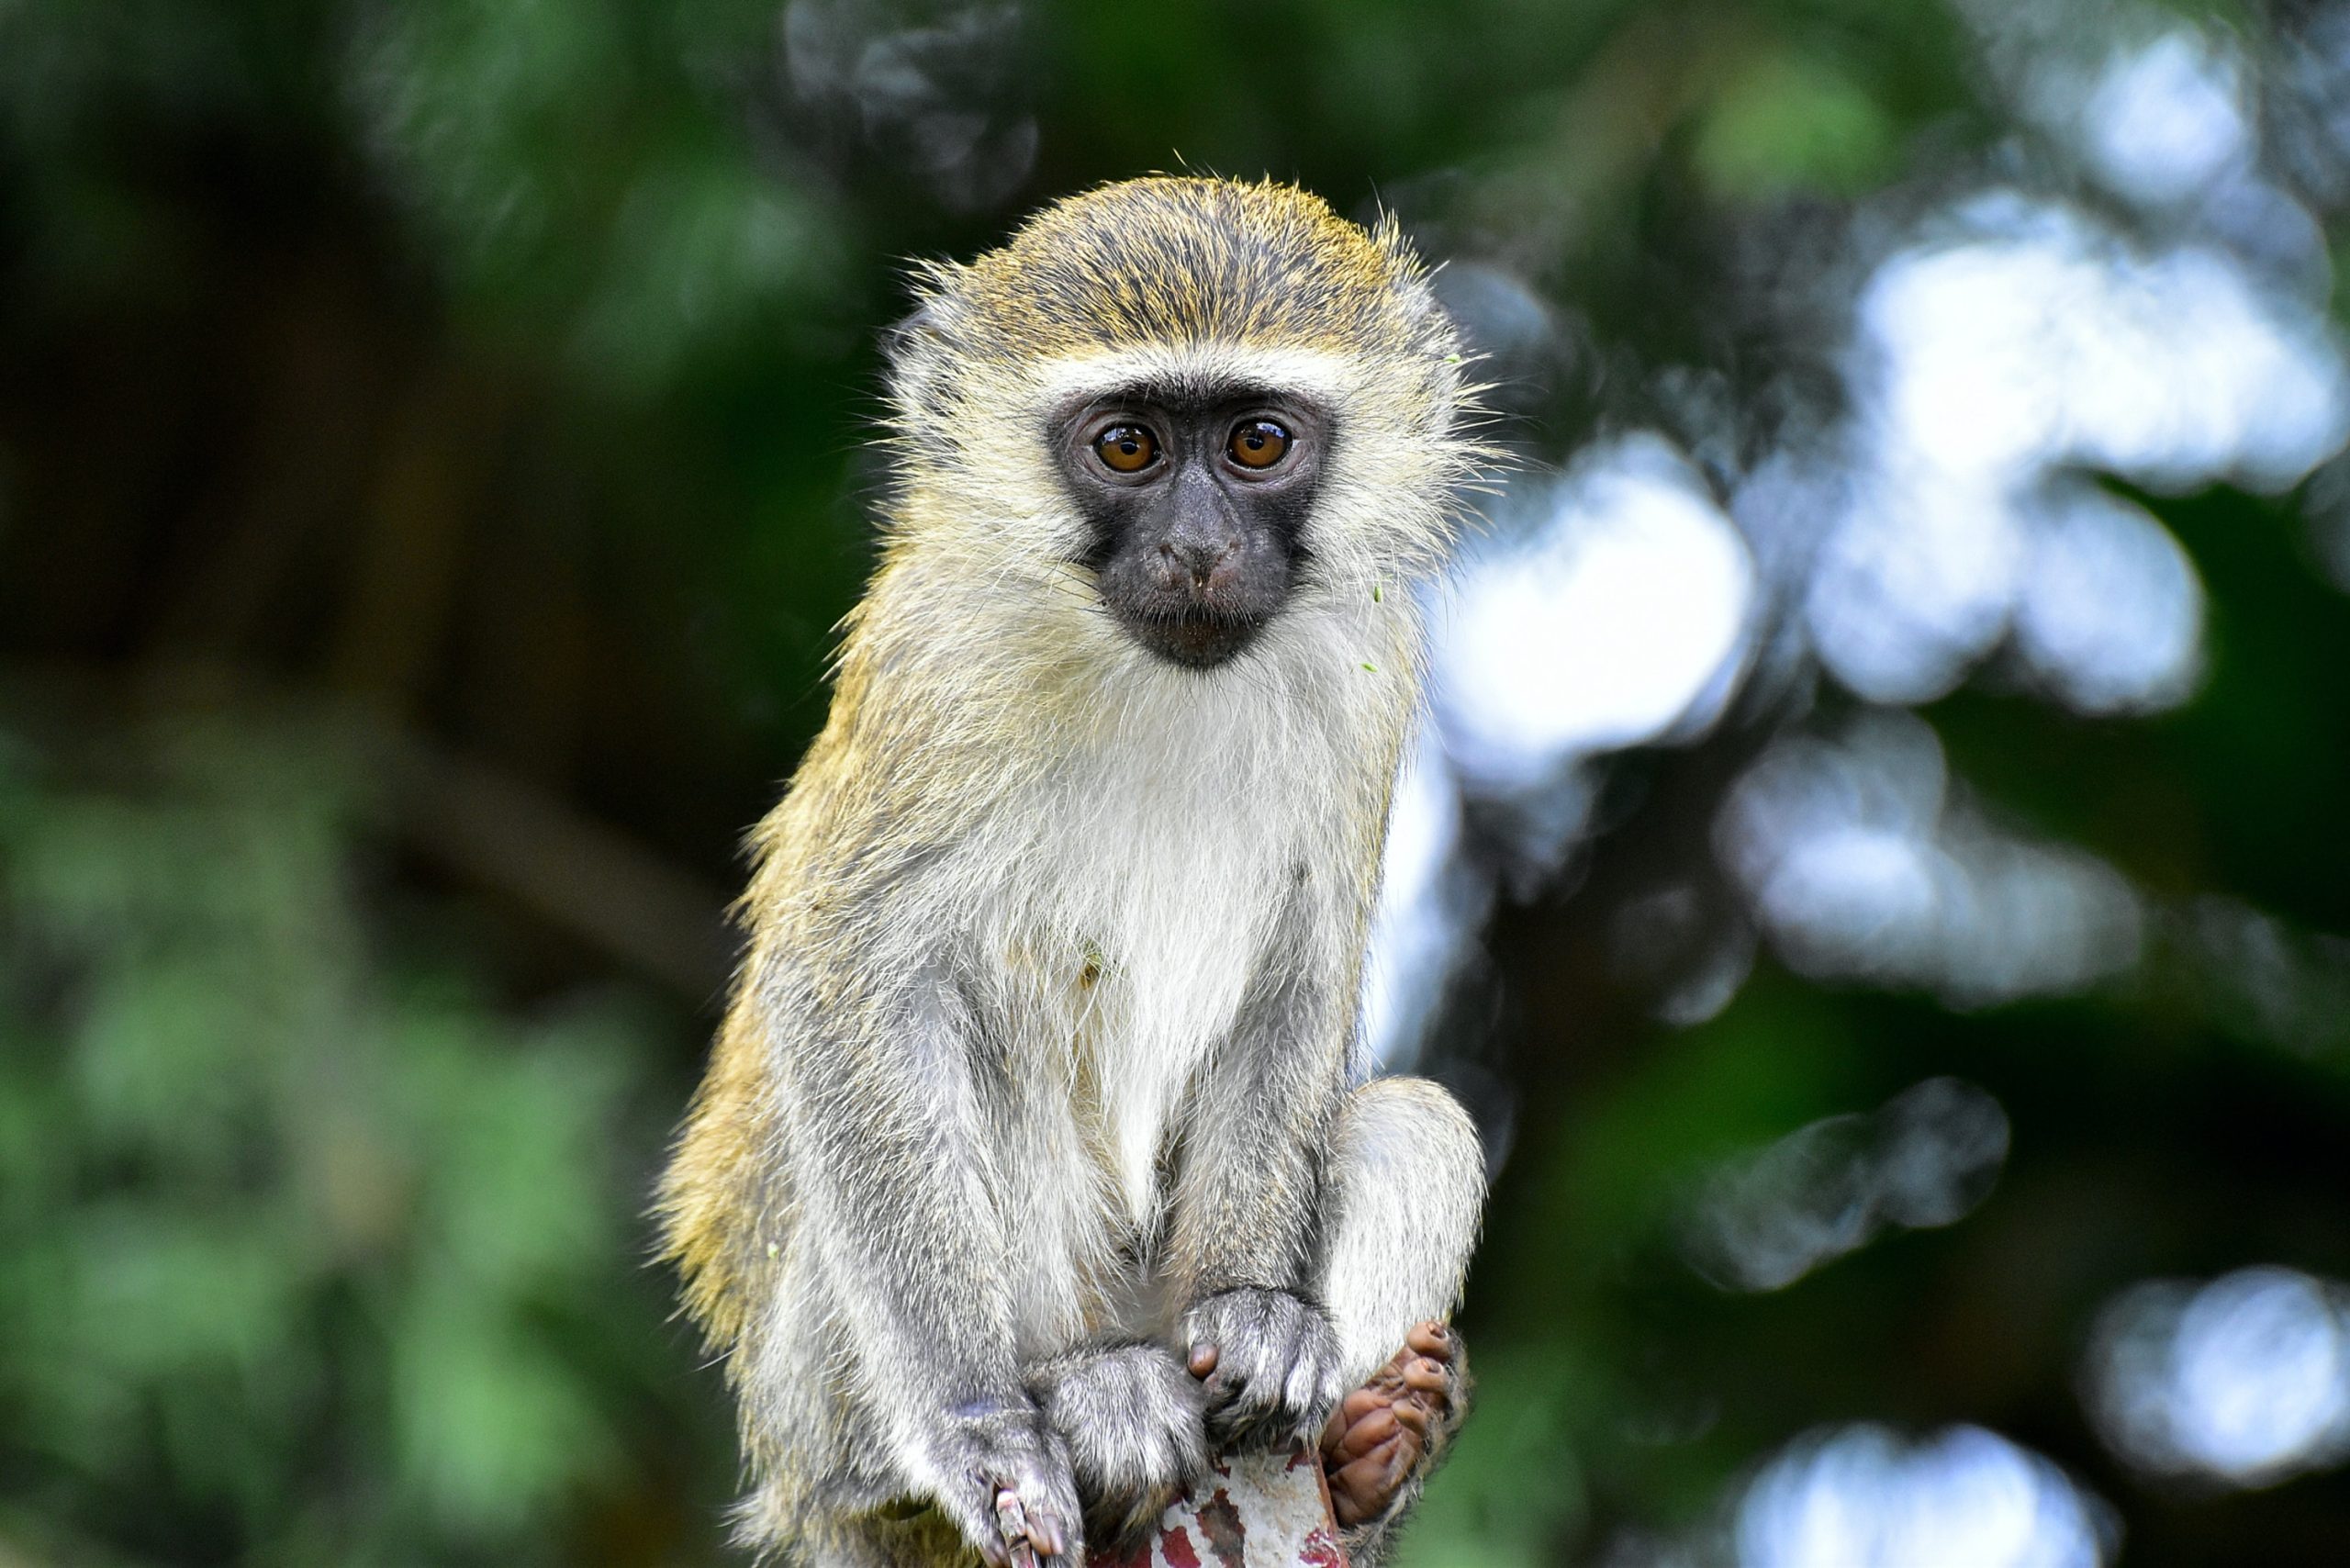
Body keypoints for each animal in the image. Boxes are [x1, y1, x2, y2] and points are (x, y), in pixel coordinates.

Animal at [667, 177, 1484, 1561]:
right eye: (1129, 449)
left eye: (1256, 443)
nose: (1200, 549)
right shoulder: (940, 658)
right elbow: (845, 982)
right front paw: (980, 1421)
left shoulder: (1371, 670)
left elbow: (1302, 971)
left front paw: (1253, 1307)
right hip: (811, 1391)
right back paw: (1068, 1403)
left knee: (1416, 1122)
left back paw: (1369, 1455)